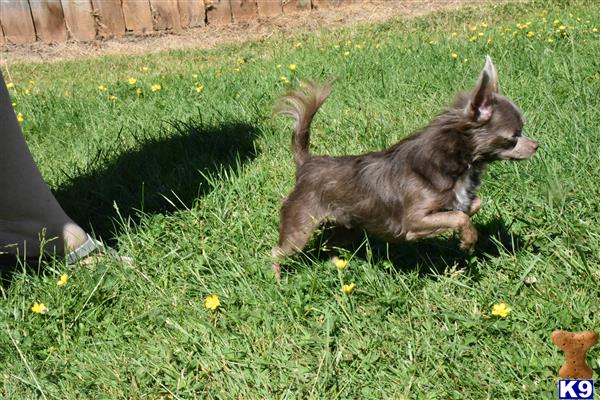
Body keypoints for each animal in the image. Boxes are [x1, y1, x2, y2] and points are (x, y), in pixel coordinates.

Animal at [272, 57, 540, 278]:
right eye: (513, 137)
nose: (536, 145)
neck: (458, 163)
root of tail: (308, 163)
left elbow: (469, 207)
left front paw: (466, 231)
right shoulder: (414, 221)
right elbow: (459, 217)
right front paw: (468, 241)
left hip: (348, 227)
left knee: (329, 244)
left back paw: (337, 265)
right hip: (299, 229)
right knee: (276, 252)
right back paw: (278, 280)